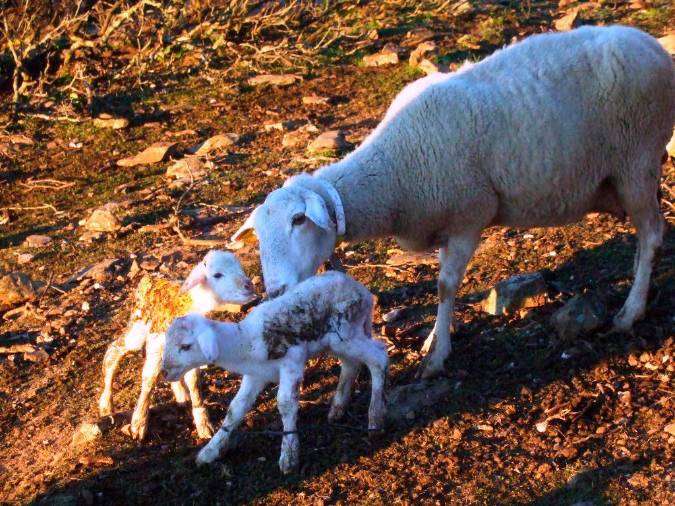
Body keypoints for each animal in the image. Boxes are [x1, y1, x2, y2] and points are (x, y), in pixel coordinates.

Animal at [99, 251, 258, 440]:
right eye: (217, 275)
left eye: (240, 268)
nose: (249, 286)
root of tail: (149, 277)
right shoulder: (156, 340)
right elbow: (149, 377)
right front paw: (139, 423)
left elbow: (194, 380)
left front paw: (203, 424)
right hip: (139, 326)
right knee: (114, 350)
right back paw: (106, 404)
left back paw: (181, 394)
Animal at [160, 272, 388, 474]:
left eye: (186, 346)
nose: (165, 372)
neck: (245, 341)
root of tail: (363, 292)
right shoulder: (255, 375)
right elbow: (235, 409)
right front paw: (210, 451)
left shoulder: (292, 362)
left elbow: (285, 404)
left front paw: (288, 456)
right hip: (337, 342)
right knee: (351, 364)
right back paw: (337, 409)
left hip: (347, 332)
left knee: (379, 356)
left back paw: (375, 418)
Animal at [232, 24, 675, 380]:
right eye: (259, 235)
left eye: (299, 220)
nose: (275, 290)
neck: (394, 170)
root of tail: (651, 45)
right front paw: (433, 339)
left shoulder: (467, 219)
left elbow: (445, 287)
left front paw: (437, 356)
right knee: (644, 236)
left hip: (637, 160)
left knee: (653, 233)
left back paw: (630, 312)